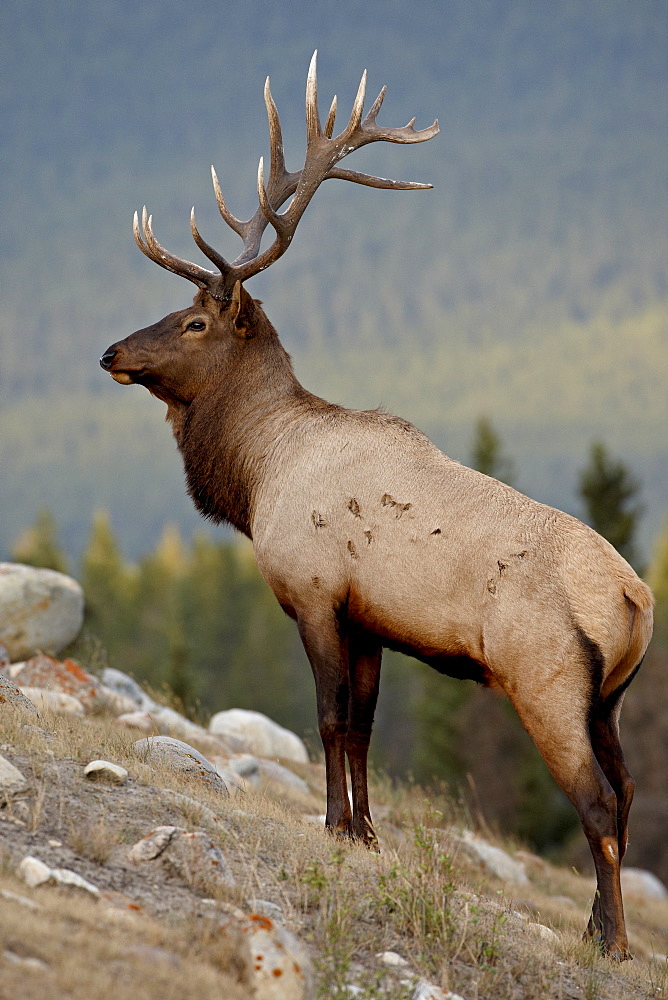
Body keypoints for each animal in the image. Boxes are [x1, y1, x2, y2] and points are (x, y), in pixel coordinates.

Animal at [100, 54, 652, 960]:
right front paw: (365, 834)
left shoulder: (316, 593)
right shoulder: (371, 620)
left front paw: (333, 826)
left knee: (598, 800)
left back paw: (606, 938)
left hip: (546, 680)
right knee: (632, 791)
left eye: (191, 322)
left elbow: (327, 719)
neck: (257, 475)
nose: (110, 350)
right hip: (610, 698)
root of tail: (637, 598)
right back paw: (606, 928)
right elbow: (361, 726)